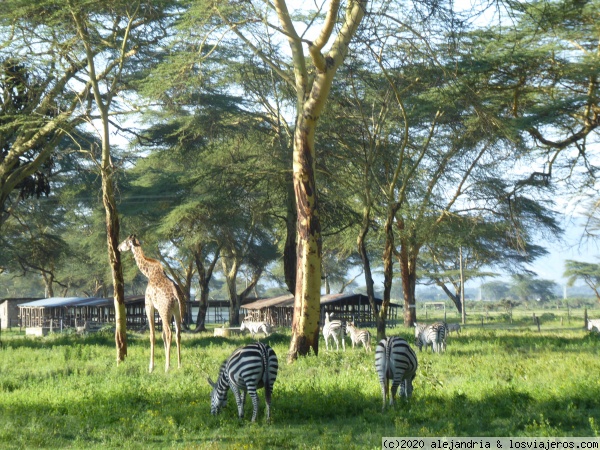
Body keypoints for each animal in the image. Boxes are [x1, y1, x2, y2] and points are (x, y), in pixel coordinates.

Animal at [117, 236, 183, 372]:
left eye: (125, 241)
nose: (118, 247)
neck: (149, 272)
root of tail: (176, 293)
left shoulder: (149, 306)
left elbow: (152, 335)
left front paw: (151, 367)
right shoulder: (158, 310)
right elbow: (162, 335)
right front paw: (168, 363)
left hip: (165, 310)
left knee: (169, 333)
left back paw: (167, 369)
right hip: (176, 311)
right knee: (177, 334)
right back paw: (179, 365)